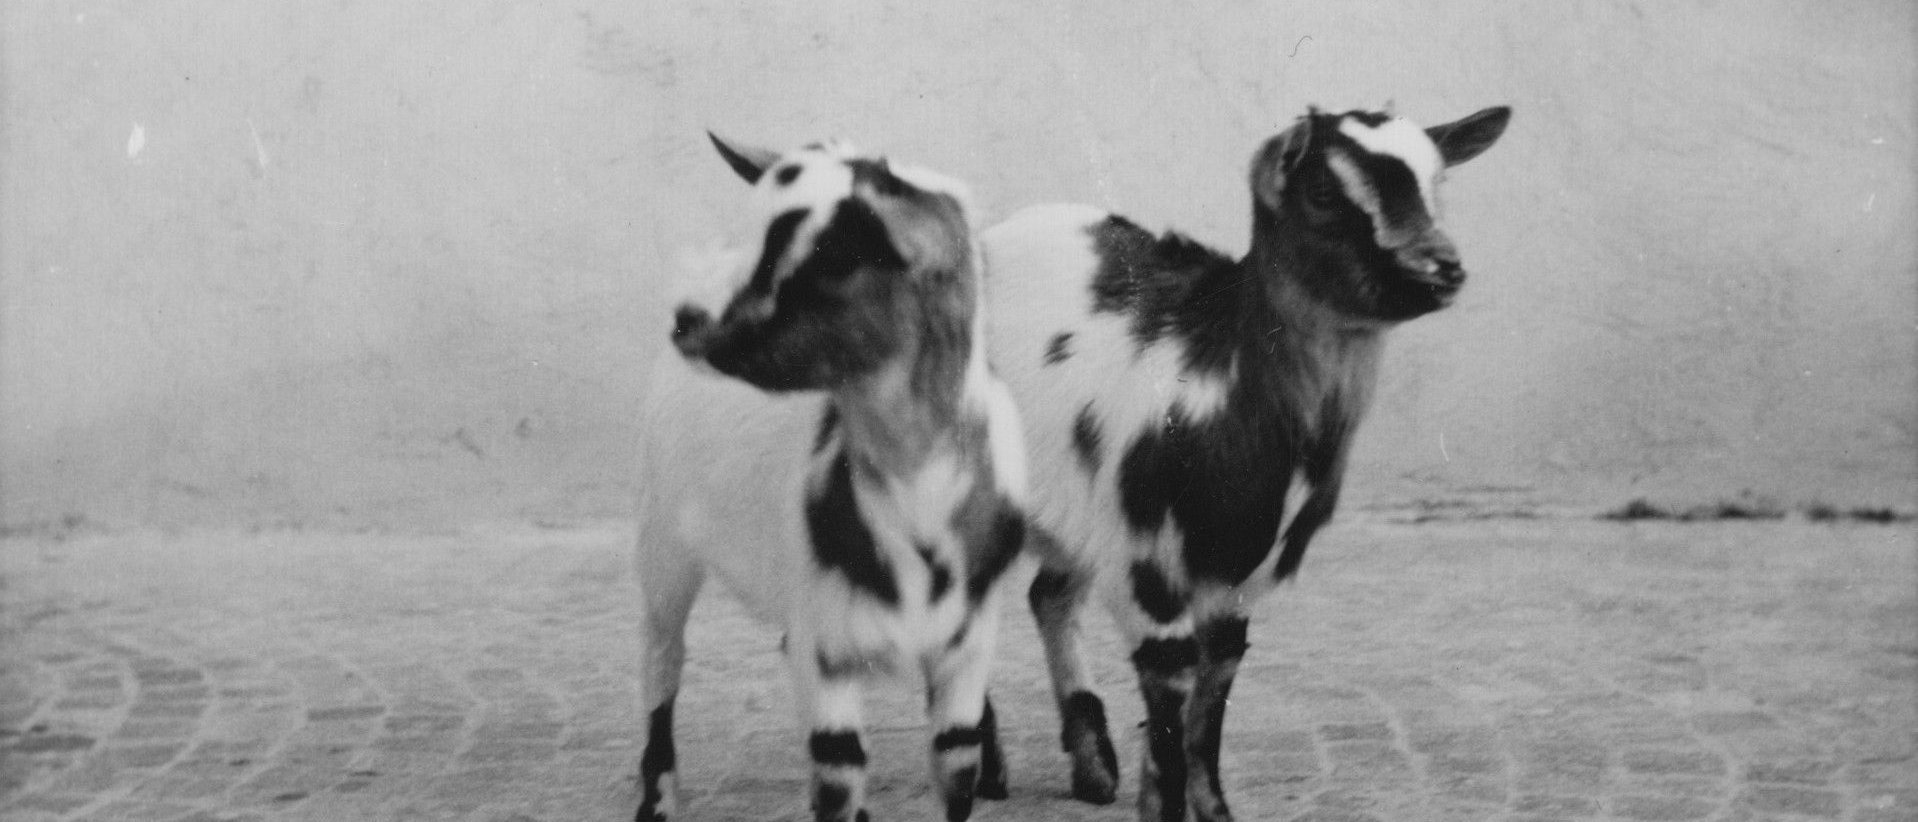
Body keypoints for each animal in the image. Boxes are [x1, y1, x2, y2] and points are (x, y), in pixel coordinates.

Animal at [635, 137, 1027, 822]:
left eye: (831, 258)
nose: (686, 320)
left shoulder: (967, 642)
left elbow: (956, 766)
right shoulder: (828, 644)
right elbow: (839, 772)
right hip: (663, 541)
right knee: (662, 663)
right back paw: (656, 800)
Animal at [979, 105, 1511, 822]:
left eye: (1439, 181)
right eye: (1323, 191)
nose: (1440, 266)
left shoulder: (1231, 580)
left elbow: (1208, 715)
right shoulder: (1151, 573)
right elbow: (1171, 723)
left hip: (1077, 512)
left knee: (1049, 597)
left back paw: (1092, 766)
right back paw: (985, 764)